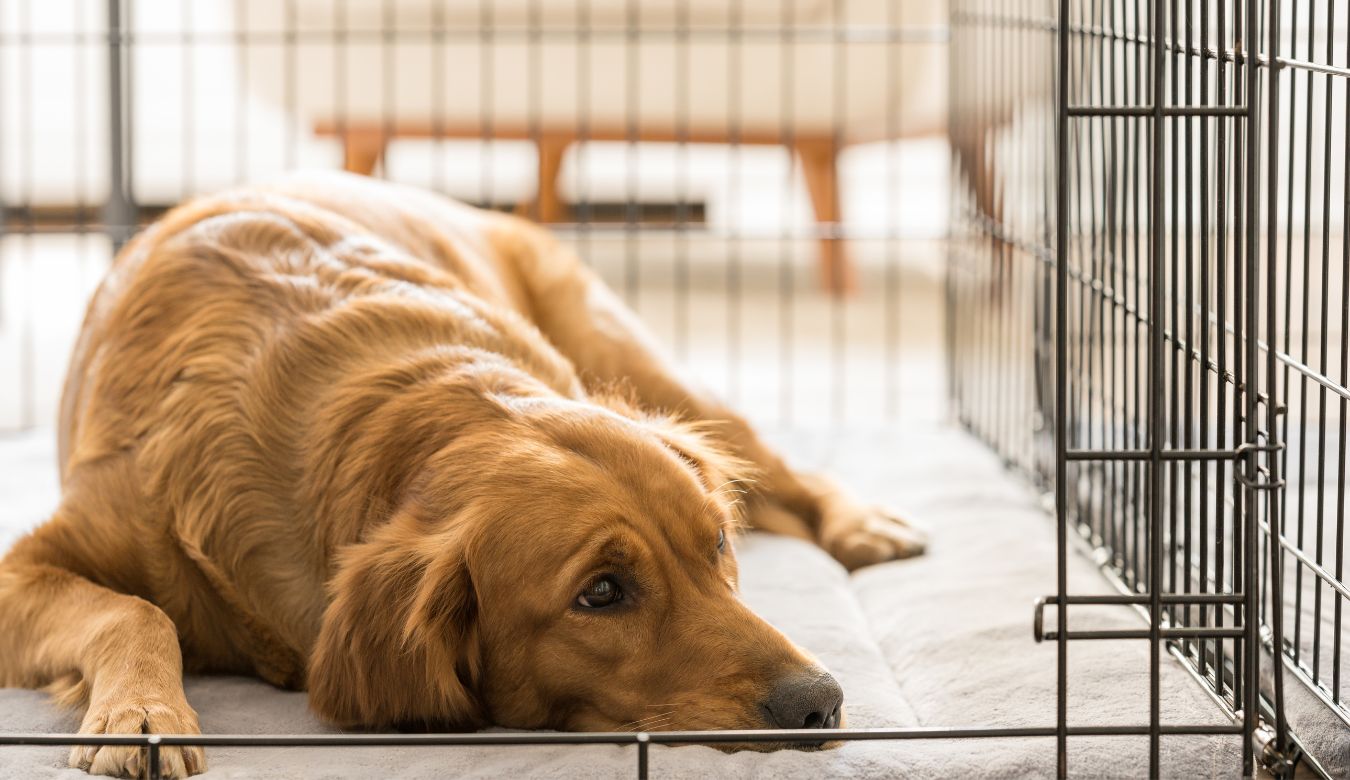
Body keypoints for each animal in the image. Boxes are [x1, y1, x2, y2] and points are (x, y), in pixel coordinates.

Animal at [0, 172, 923, 771]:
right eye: (601, 593)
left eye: (718, 546)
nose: (820, 701)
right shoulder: (22, 570)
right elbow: (135, 610)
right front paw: (144, 712)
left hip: (638, 360)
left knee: (786, 470)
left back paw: (865, 526)